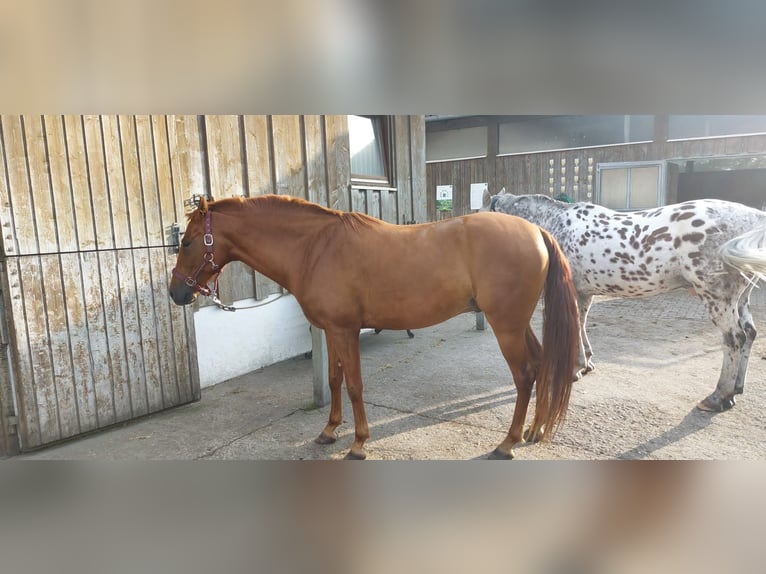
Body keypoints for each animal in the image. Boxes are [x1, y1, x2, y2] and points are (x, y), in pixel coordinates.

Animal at [166, 196, 576, 462]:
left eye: (186, 242)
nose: (176, 292)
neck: (315, 248)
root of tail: (536, 231)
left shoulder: (346, 331)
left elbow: (354, 386)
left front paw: (359, 444)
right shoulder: (331, 331)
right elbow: (334, 380)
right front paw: (329, 431)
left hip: (506, 325)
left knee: (525, 374)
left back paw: (507, 443)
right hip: (517, 324)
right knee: (543, 363)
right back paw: (535, 430)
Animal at [486, 189, 766, 414]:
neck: (555, 226)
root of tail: (753, 217)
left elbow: (574, 325)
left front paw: (575, 368)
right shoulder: (583, 293)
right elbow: (581, 324)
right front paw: (585, 362)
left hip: (717, 297)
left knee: (734, 338)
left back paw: (719, 396)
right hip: (740, 299)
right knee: (749, 333)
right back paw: (737, 388)